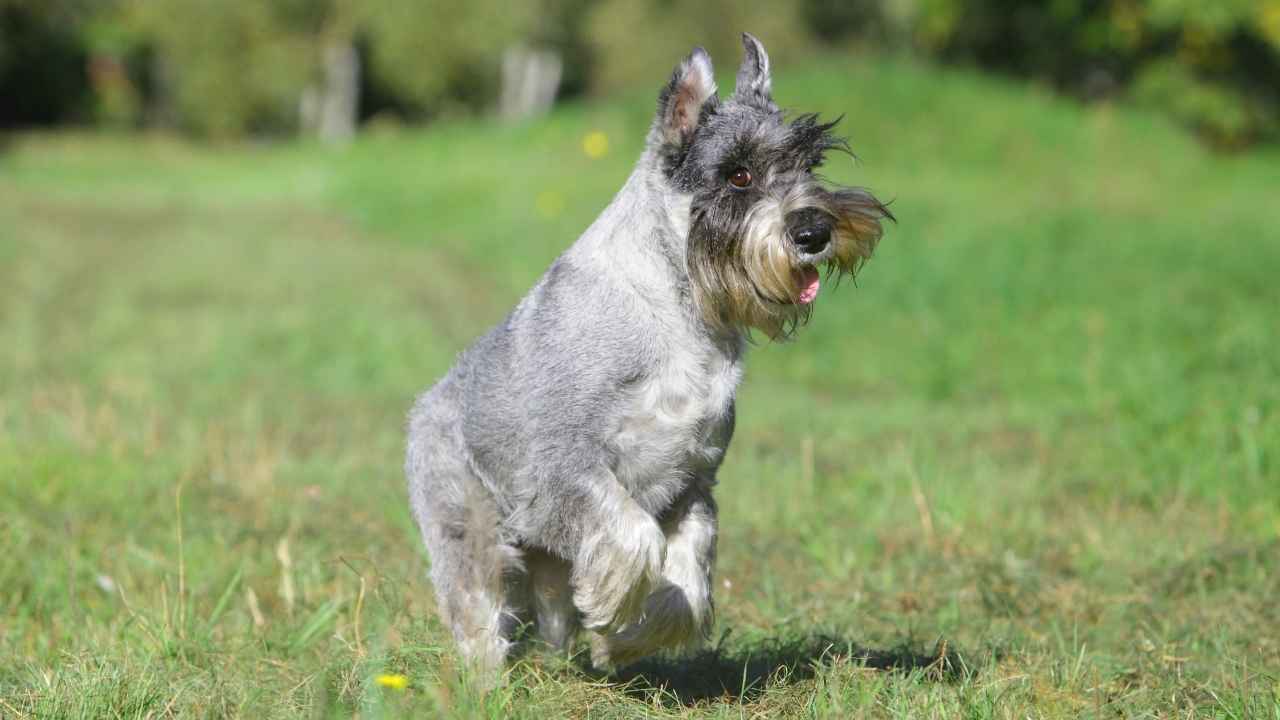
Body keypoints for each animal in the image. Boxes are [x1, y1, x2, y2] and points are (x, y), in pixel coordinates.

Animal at [404, 30, 885, 676]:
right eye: (737, 174)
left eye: (811, 164)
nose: (815, 231)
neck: (682, 313)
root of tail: (428, 401)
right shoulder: (566, 471)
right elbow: (634, 537)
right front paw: (613, 610)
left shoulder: (693, 481)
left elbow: (689, 582)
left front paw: (626, 638)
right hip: (471, 526)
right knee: (479, 606)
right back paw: (487, 679)